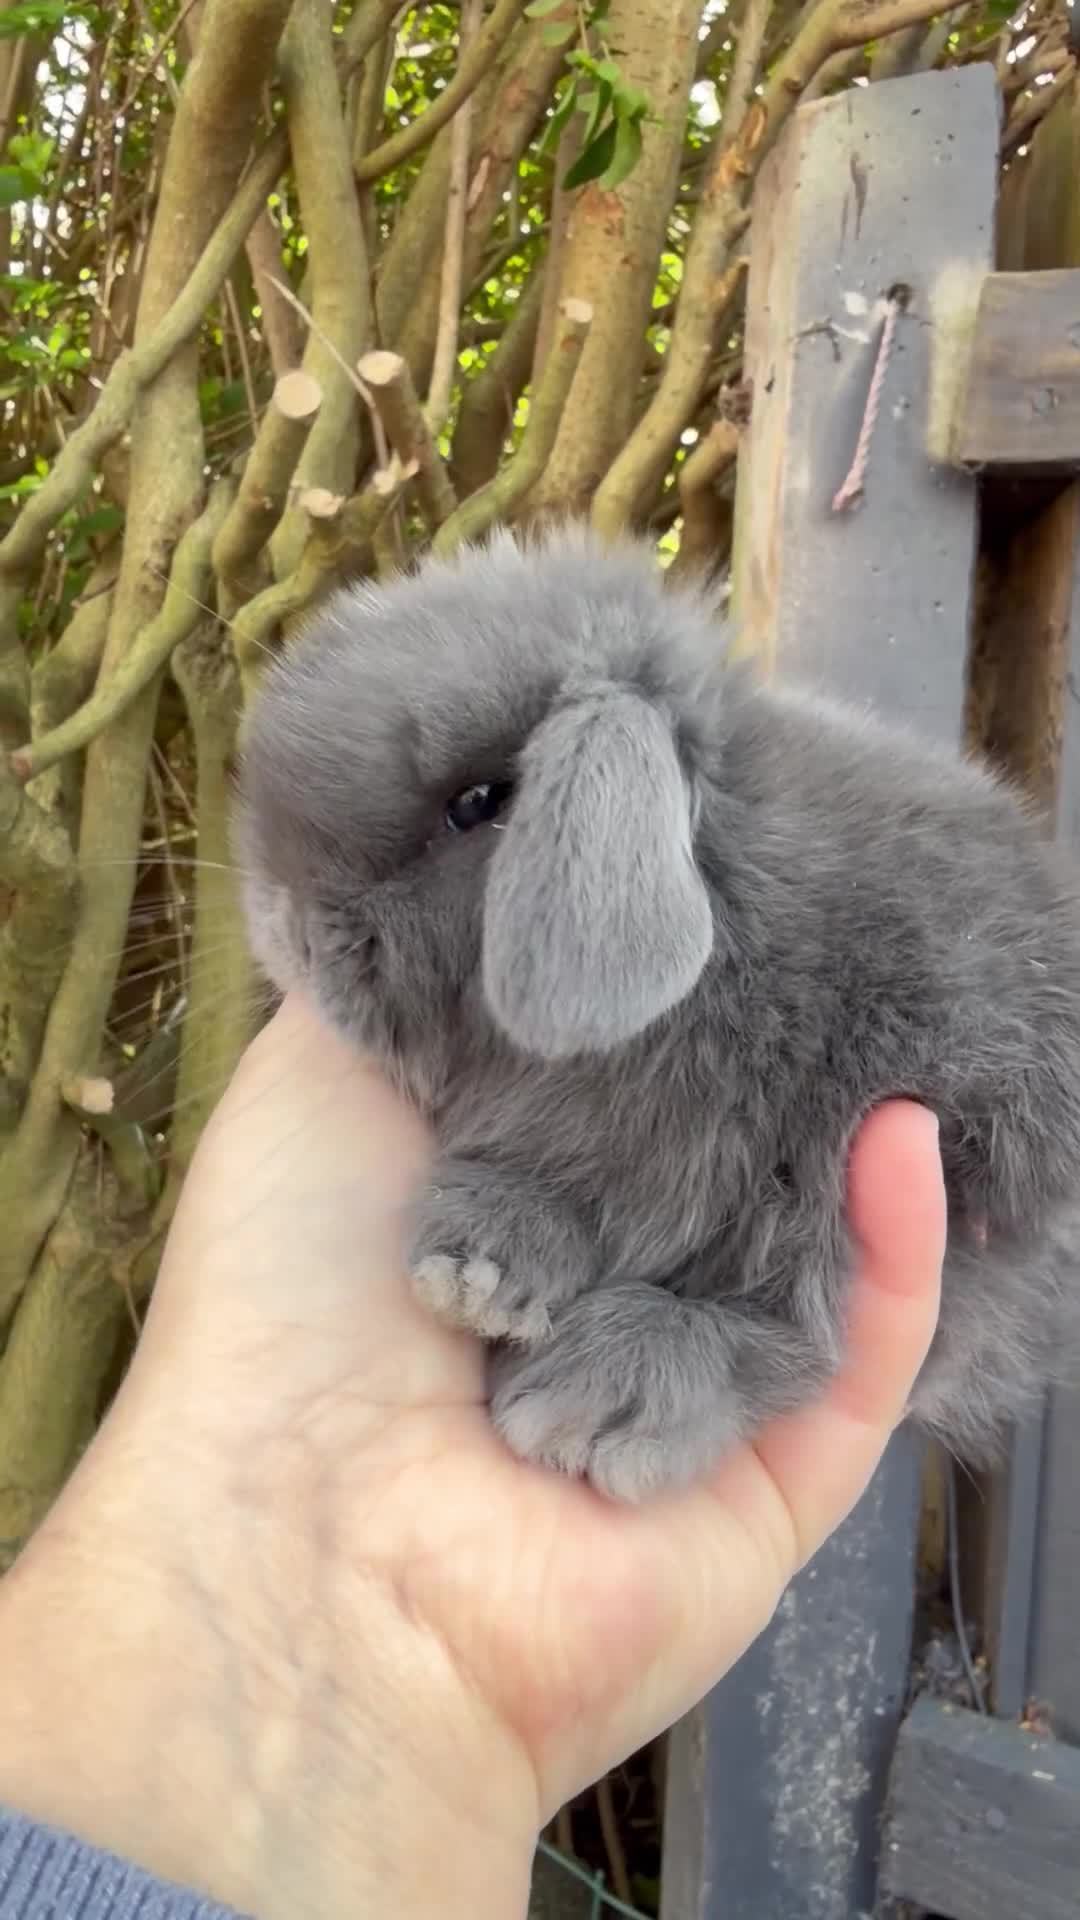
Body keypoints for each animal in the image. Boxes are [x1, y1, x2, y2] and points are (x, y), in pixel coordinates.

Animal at [232, 524, 1080, 1503]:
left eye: (478, 804)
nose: (289, 931)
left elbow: (791, 1328)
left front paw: (579, 1398)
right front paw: (480, 1265)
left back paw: (596, 1390)